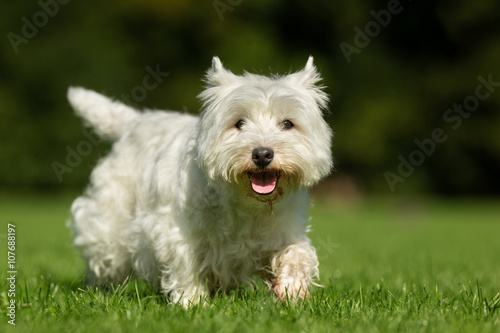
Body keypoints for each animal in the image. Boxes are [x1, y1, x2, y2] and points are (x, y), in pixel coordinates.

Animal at [66, 55, 332, 304]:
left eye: (287, 123)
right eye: (239, 123)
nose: (262, 154)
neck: (247, 204)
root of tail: (135, 122)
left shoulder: (286, 229)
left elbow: (297, 254)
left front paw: (291, 291)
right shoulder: (180, 234)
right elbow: (187, 268)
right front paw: (192, 304)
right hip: (110, 222)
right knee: (104, 260)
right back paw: (98, 293)